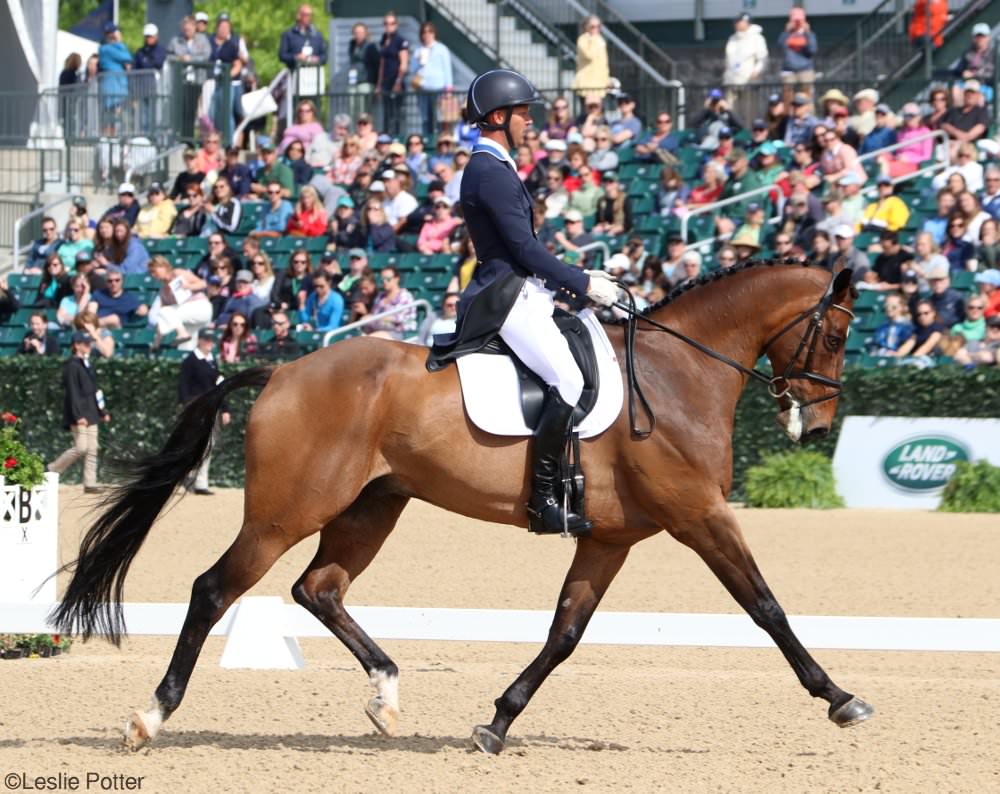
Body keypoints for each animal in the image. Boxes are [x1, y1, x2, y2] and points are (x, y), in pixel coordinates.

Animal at [54, 262, 872, 756]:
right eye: (834, 334)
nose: (819, 426)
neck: (677, 374)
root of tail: (284, 370)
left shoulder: (610, 539)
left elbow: (565, 632)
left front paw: (497, 722)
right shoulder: (700, 517)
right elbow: (765, 606)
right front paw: (840, 698)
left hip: (370, 508)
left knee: (319, 589)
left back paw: (385, 694)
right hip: (287, 512)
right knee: (215, 588)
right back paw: (151, 716)